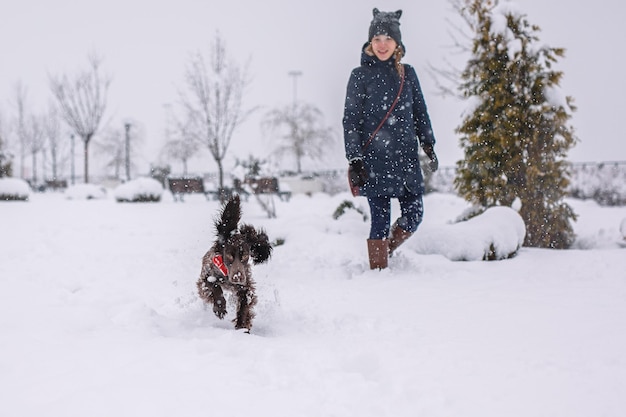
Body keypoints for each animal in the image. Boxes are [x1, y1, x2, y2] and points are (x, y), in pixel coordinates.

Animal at [196, 194, 272, 332]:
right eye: (229, 256)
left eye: (245, 256)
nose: (238, 277)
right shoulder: (205, 277)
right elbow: (214, 286)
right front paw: (220, 307)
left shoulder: (246, 286)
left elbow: (244, 305)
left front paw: (242, 327)